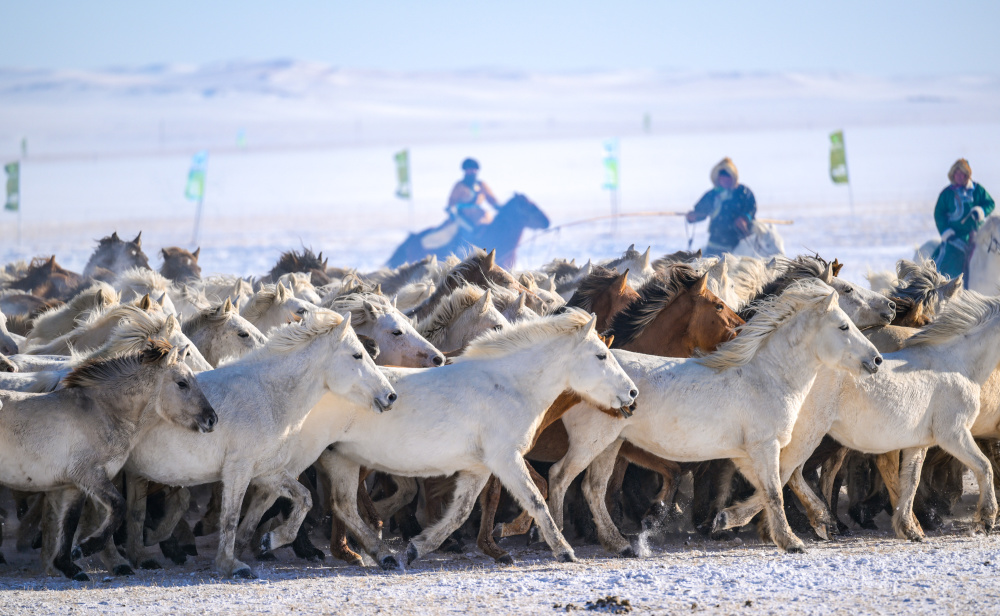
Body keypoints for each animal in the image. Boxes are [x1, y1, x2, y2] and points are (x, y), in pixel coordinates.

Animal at [0, 340, 217, 580]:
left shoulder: (74, 486)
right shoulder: (90, 476)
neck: (102, 412)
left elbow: (69, 523)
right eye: (182, 383)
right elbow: (118, 507)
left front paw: (69, 566)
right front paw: (85, 549)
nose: (212, 419)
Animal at [127, 310, 400, 580]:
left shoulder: (266, 472)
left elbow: (303, 499)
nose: (390, 396)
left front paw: (270, 540)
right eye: (357, 354)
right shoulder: (238, 470)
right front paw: (230, 565)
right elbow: (230, 517)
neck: (267, 394)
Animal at [316, 310, 636, 572]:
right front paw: (564, 551)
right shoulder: (506, 459)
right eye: (601, 356)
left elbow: (461, 511)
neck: (507, 386)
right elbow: (535, 500)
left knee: (342, 505)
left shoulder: (479, 467)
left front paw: (418, 547)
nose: (632, 393)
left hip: (341, 459)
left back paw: (379, 554)